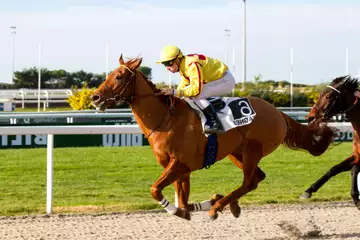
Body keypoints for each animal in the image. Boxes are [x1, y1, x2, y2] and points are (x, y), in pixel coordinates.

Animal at [90, 55, 334, 220]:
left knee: (248, 181)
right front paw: (203, 203)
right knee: (256, 178)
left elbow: (156, 190)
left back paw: (219, 208)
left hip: (253, 149)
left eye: (119, 76)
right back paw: (229, 205)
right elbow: (184, 201)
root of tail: (278, 113)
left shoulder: (179, 163)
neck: (166, 119)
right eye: (108, 75)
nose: (95, 97)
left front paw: (180, 210)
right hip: (236, 152)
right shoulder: (181, 169)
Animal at [300, 74, 360, 208]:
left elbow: (354, 169)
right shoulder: (357, 155)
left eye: (328, 96)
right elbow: (335, 169)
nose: (310, 117)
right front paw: (308, 190)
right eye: (320, 94)